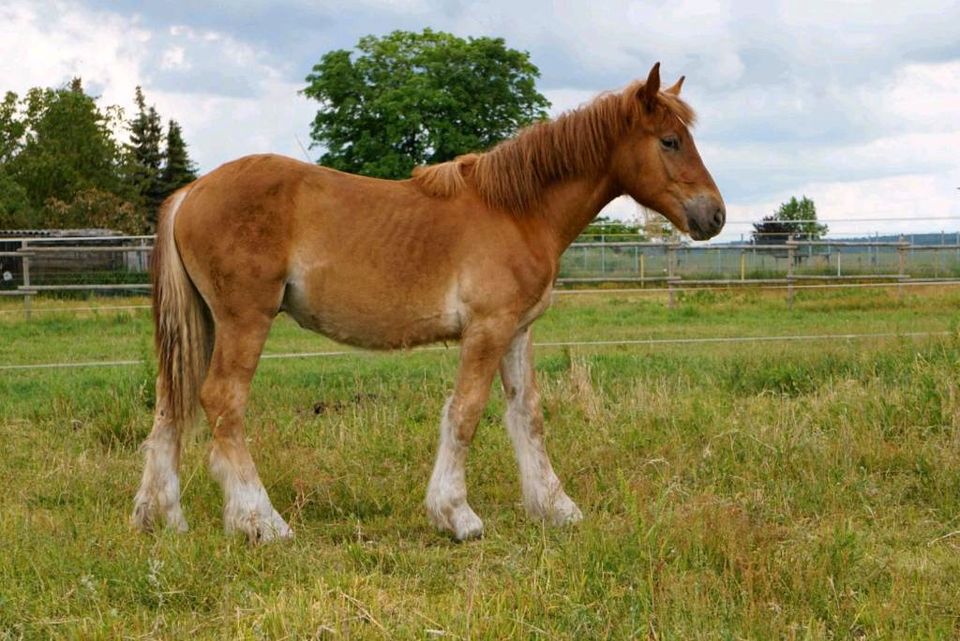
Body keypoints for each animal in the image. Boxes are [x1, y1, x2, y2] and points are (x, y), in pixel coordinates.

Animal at [131, 63, 724, 540]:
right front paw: (456, 515)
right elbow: (465, 413)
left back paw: (160, 517)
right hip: (244, 320)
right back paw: (261, 521)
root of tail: (191, 192)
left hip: (204, 324)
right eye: (670, 141)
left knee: (170, 404)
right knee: (222, 402)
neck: (516, 210)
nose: (714, 215)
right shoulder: (486, 330)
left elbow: (526, 415)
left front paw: (555, 507)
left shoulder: (517, 331)